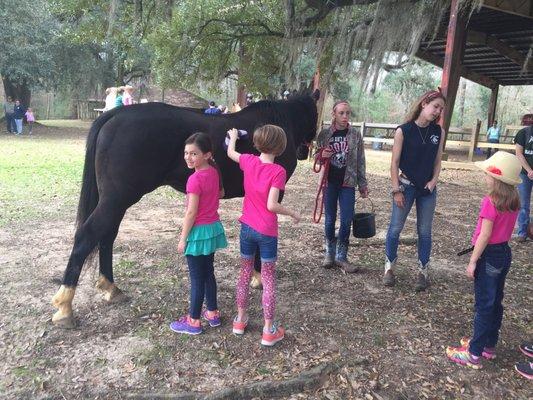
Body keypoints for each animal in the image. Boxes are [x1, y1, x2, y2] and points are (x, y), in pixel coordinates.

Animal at [51, 94, 316, 328]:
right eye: (314, 113)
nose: (306, 152)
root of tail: (114, 114)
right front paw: (259, 277)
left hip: (115, 202)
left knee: (106, 236)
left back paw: (110, 288)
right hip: (117, 199)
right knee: (87, 236)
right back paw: (65, 306)